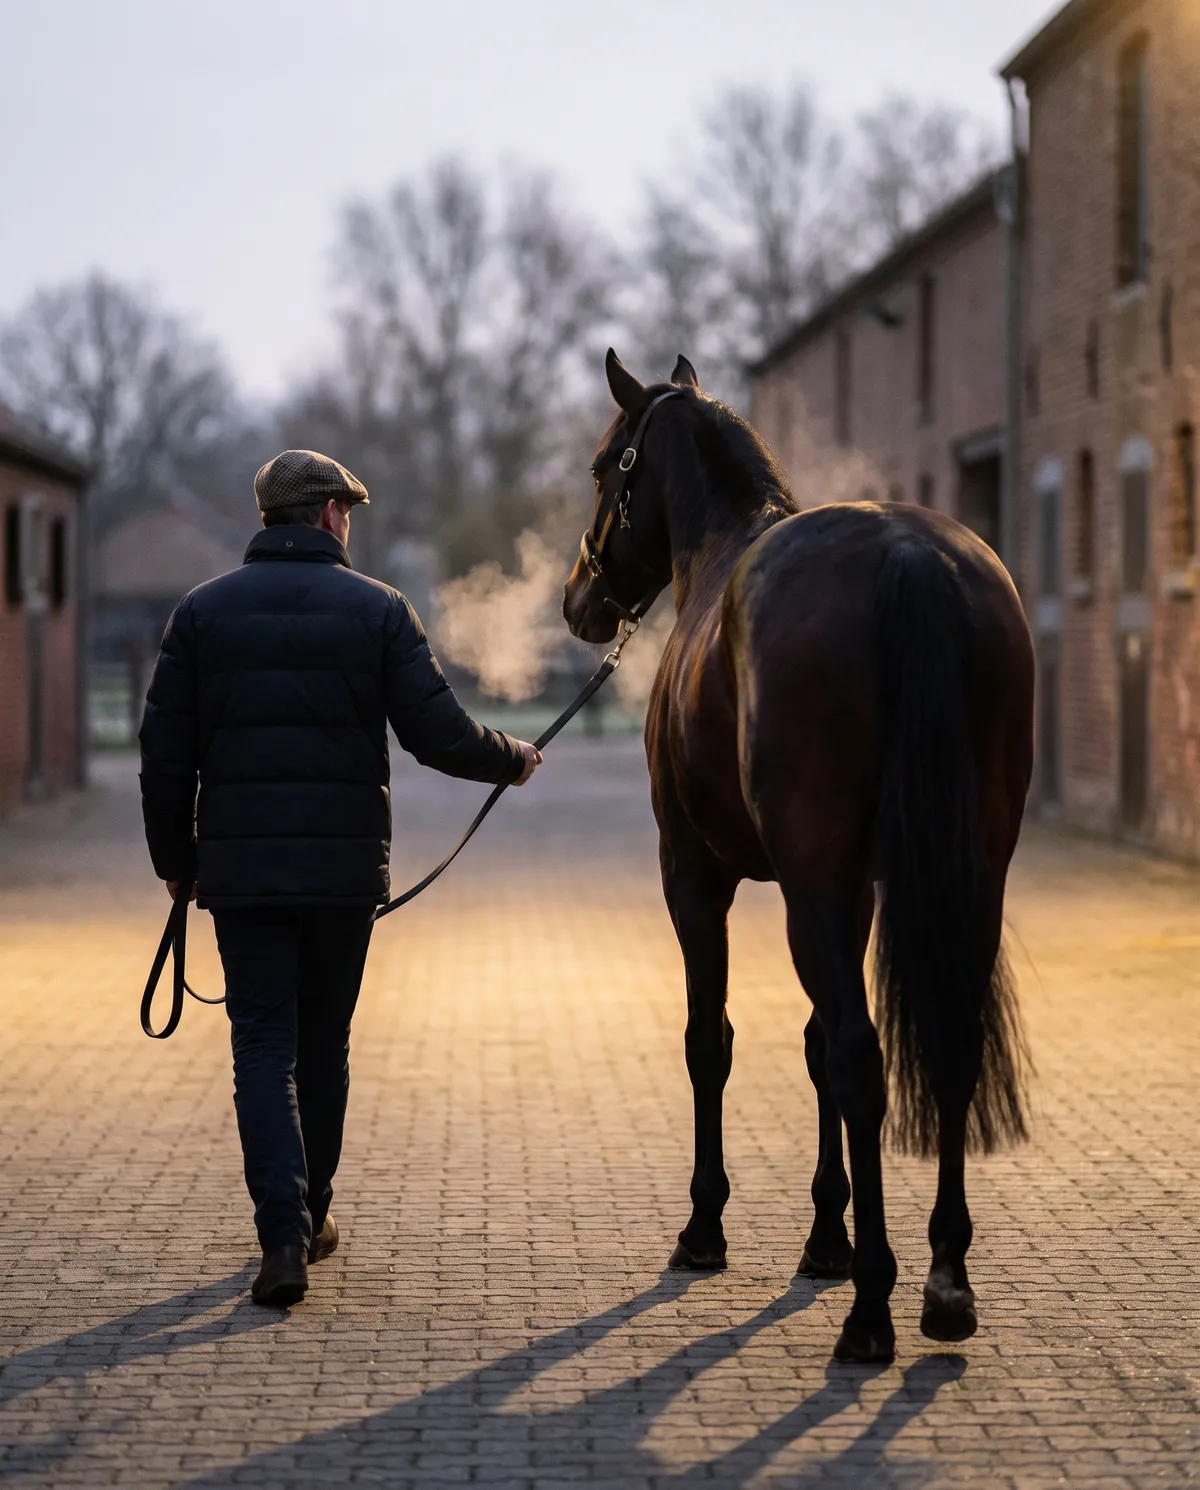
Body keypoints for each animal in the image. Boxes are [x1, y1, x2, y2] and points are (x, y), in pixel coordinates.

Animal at [562, 349, 1034, 1365]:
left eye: (604, 466)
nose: (579, 600)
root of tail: (907, 556)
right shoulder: (853, 890)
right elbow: (814, 1047)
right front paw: (826, 1239)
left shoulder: (700, 878)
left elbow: (714, 1042)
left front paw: (706, 1229)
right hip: (971, 876)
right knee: (945, 1043)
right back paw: (945, 1284)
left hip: (807, 887)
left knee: (865, 1058)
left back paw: (873, 1312)